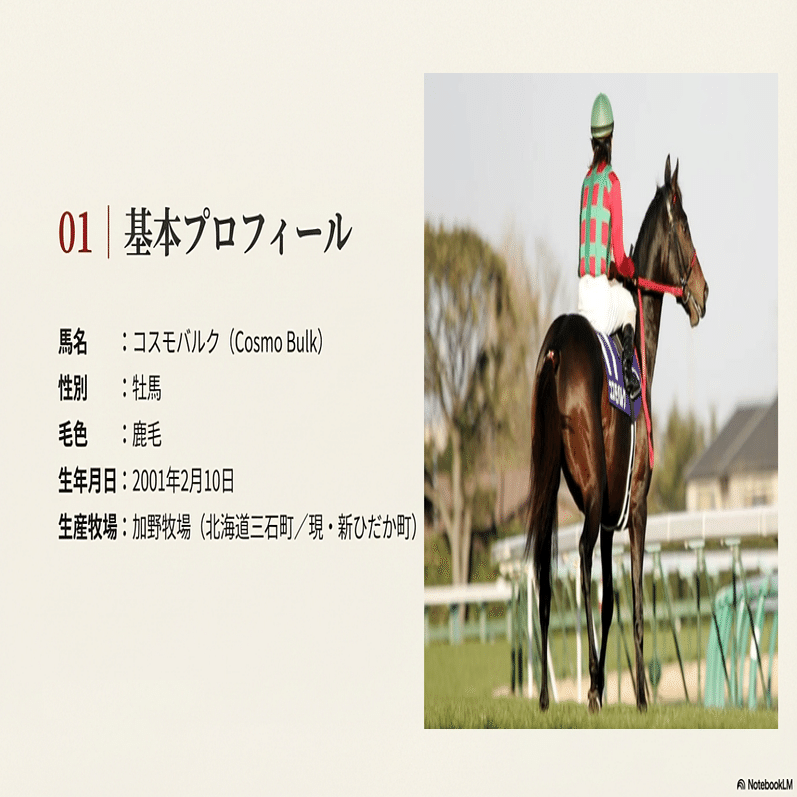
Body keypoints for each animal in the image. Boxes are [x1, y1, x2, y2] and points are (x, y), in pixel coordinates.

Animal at [525, 154, 708, 712]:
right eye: (685, 225)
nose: (703, 292)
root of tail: (557, 347)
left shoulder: (609, 511)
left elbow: (609, 601)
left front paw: (607, 684)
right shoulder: (637, 502)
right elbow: (634, 599)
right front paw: (640, 694)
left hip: (552, 481)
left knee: (545, 566)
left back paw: (547, 695)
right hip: (590, 490)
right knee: (579, 556)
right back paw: (585, 683)